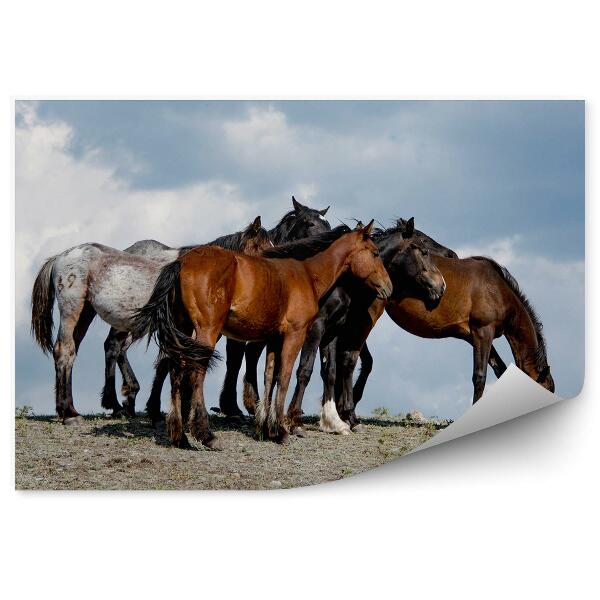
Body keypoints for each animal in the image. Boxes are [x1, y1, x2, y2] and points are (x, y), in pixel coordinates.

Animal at [29, 216, 270, 422]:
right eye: (263, 248)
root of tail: (61, 257)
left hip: (86, 314)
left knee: (79, 352)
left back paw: (76, 407)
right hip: (72, 310)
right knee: (66, 350)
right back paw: (71, 413)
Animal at [132, 223, 394, 448]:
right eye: (374, 253)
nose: (388, 288)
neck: (306, 273)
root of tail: (182, 262)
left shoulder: (274, 339)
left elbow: (270, 377)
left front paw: (266, 428)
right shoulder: (296, 334)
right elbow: (286, 376)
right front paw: (282, 430)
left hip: (183, 329)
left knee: (176, 370)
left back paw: (179, 436)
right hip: (207, 331)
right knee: (195, 373)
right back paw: (206, 435)